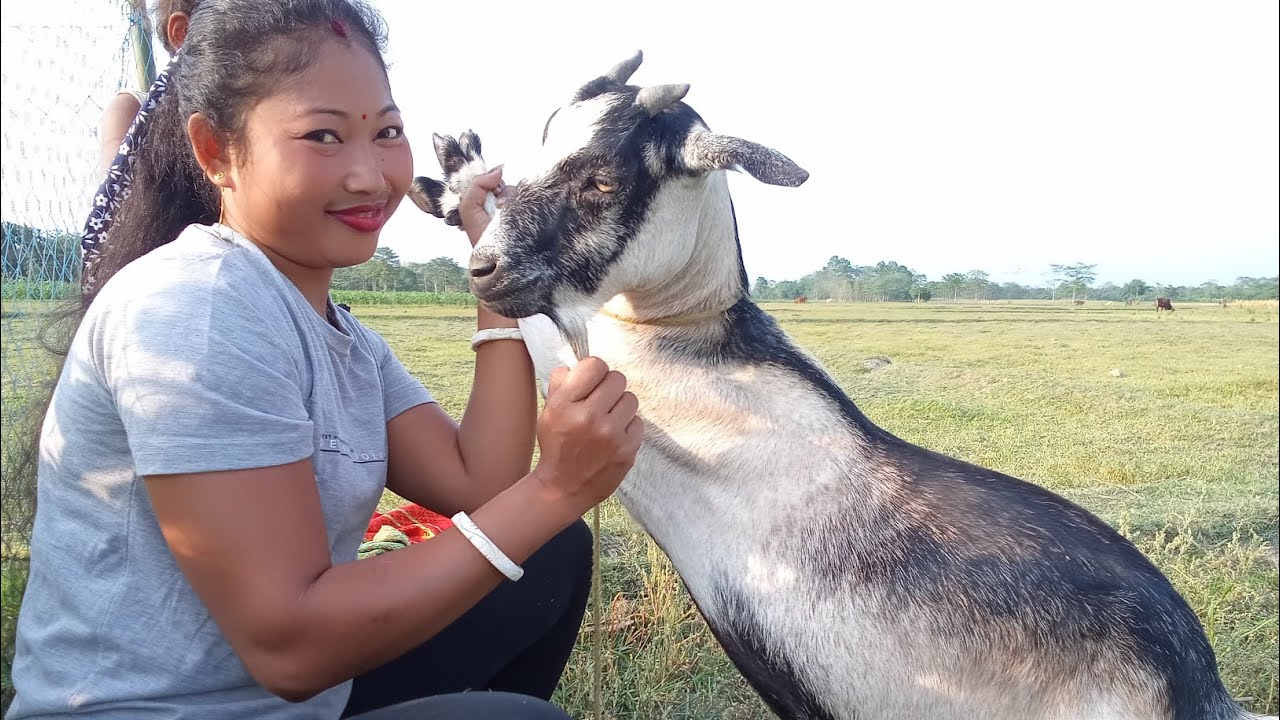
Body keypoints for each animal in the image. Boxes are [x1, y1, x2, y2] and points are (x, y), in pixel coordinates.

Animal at [409, 51, 1269, 720]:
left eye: (598, 180)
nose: (487, 268)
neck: (701, 337)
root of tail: (1200, 690)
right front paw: (453, 179)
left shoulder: (628, 395)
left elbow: (544, 339)